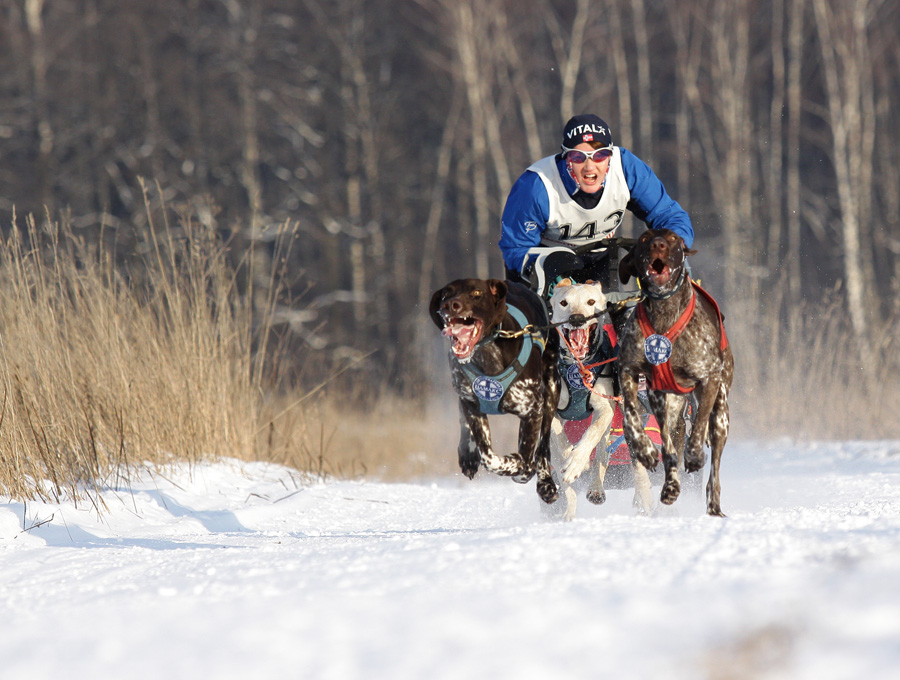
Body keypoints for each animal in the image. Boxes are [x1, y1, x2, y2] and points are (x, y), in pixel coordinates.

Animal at [430, 278, 564, 504]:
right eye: (446, 294)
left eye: (476, 293)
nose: (450, 305)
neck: (487, 353)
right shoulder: (472, 405)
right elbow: (489, 457)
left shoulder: (533, 410)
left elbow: (528, 456)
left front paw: (523, 469)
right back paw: (468, 454)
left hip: (552, 389)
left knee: (544, 444)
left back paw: (545, 482)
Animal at [620, 228, 740, 516]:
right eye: (643, 239)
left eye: (674, 238)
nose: (658, 245)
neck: (665, 315)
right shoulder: (631, 372)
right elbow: (632, 419)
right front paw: (645, 450)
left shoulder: (709, 380)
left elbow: (698, 428)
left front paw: (694, 455)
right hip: (669, 405)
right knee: (669, 443)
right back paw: (671, 486)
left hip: (721, 414)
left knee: (714, 465)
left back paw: (714, 506)